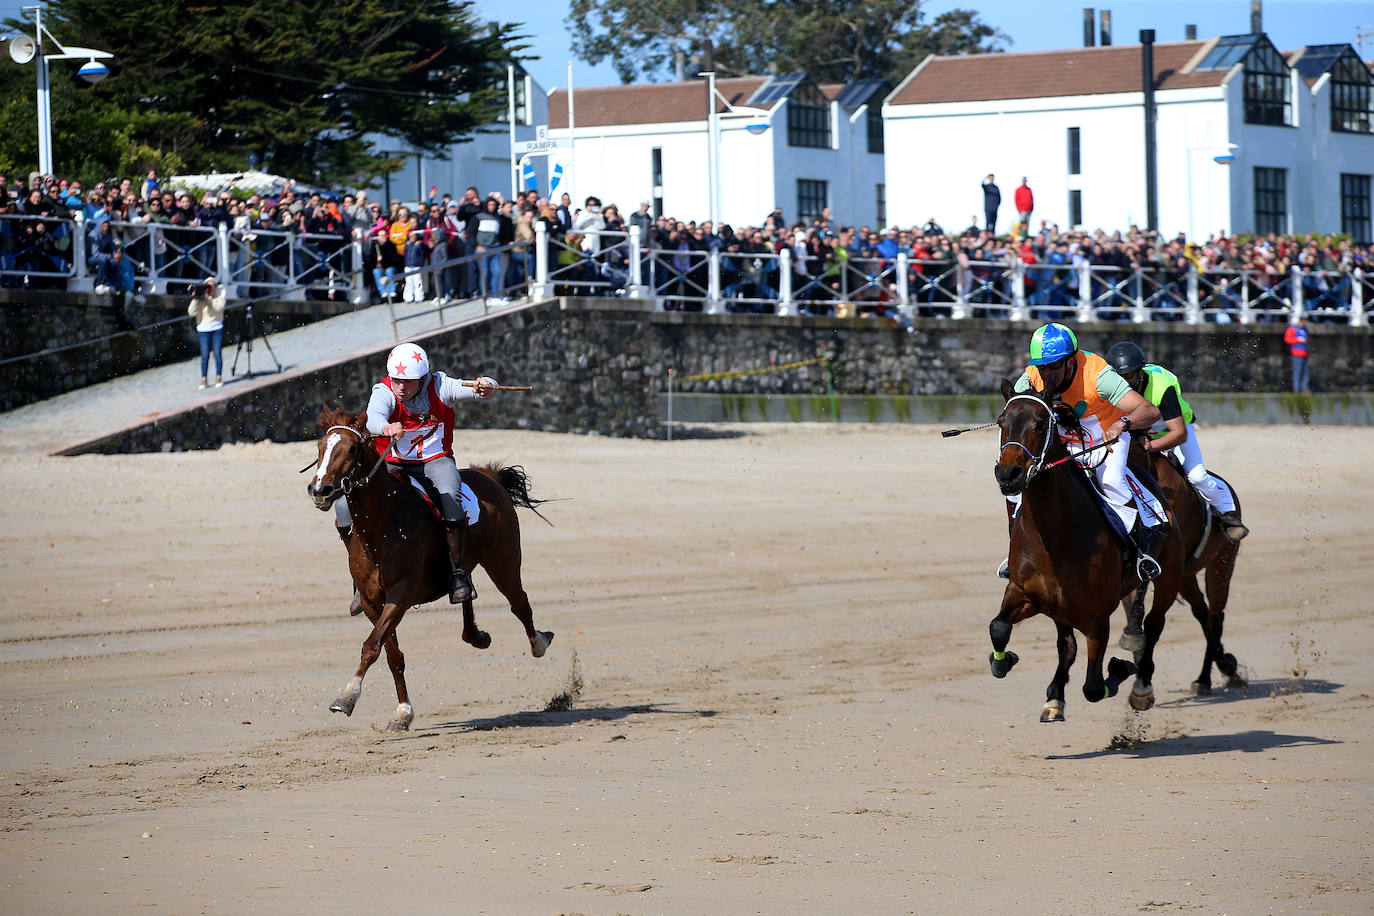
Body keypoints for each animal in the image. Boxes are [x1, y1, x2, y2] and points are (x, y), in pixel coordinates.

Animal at [306, 406, 552, 730]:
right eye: (321, 446)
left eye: (352, 449)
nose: (319, 489)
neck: (385, 524)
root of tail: (488, 475)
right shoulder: (372, 601)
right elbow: (391, 653)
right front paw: (402, 712)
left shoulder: (401, 594)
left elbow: (372, 646)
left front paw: (346, 697)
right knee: (467, 590)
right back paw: (475, 632)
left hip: (504, 561)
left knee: (519, 603)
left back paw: (539, 643)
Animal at [994, 379, 1187, 725]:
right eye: (1002, 422)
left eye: (1040, 424)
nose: (1008, 474)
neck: (1055, 536)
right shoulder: (1024, 592)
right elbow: (999, 627)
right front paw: (1004, 662)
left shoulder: (1097, 618)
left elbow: (1094, 687)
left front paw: (1121, 667)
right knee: (1066, 644)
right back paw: (1055, 695)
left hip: (1169, 577)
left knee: (1153, 626)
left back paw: (1141, 687)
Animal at [1121, 447, 1253, 697]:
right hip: (1186, 576)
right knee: (1202, 613)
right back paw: (1225, 666)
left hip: (1222, 564)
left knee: (1215, 617)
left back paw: (1205, 678)